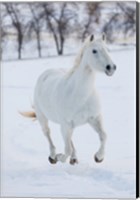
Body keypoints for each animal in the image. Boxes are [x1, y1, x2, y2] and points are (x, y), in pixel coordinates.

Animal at [21, 34, 116, 165]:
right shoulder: (66, 124)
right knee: (48, 133)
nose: (111, 67)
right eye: (94, 51)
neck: (81, 96)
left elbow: (104, 136)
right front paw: (59, 157)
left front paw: (98, 157)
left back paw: (74, 158)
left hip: (69, 126)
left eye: (107, 49)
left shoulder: (94, 119)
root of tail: (46, 73)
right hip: (43, 118)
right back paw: (53, 156)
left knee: (70, 141)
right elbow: (67, 149)